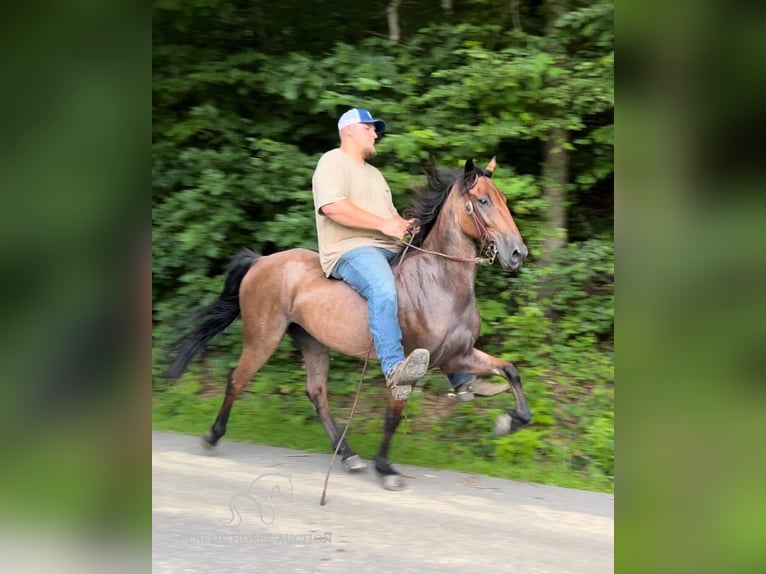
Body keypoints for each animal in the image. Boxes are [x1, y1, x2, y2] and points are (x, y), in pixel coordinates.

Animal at [166, 158, 536, 490]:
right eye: (483, 200)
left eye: (503, 198)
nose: (518, 253)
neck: (439, 283)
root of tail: (261, 262)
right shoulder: (407, 366)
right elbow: (393, 414)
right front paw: (385, 468)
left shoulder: (458, 355)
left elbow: (510, 370)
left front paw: (508, 421)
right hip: (263, 336)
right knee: (237, 379)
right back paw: (213, 436)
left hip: (312, 341)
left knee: (316, 392)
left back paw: (348, 454)